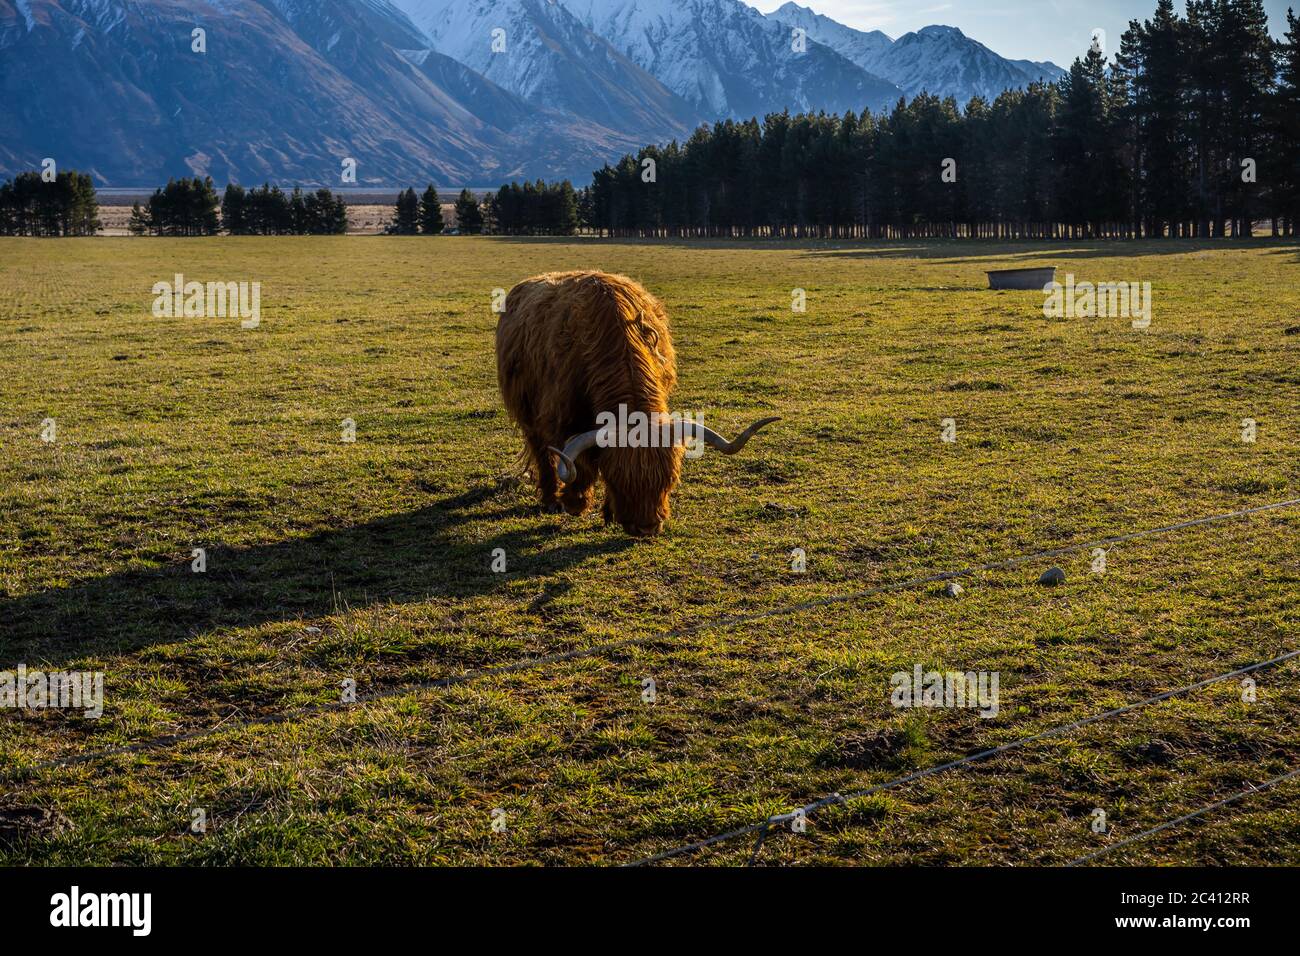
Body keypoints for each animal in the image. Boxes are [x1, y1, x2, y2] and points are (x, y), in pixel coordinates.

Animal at [496, 271, 778, 537]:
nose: (646, 528)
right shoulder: (562, 417)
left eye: (669, 480)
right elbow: (579, 463)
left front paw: (608, 512)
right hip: (526, 411)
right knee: (541, 451)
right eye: (617, 480)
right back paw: (550, 499)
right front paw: (575, 502)